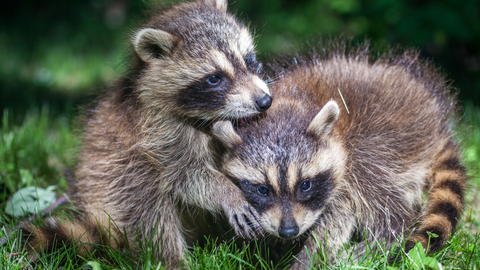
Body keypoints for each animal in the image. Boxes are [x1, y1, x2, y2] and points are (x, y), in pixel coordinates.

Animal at [21, 0, 270, 266]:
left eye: (248, 59)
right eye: (215, 78)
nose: (264, 101)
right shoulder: (158, 131)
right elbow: (185, 176)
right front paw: (227, 191)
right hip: (112, 184)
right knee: (146, 199)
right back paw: (173, 259)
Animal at [213, 44, 464, 268]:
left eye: (305, 185)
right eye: (262, 189)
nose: (288, 231)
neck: (291, 102)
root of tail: (438, 123)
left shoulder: (346, 161)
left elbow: (337, 220)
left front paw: (307, 258)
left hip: (388, 138)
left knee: (384, 200)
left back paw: (384, 240)